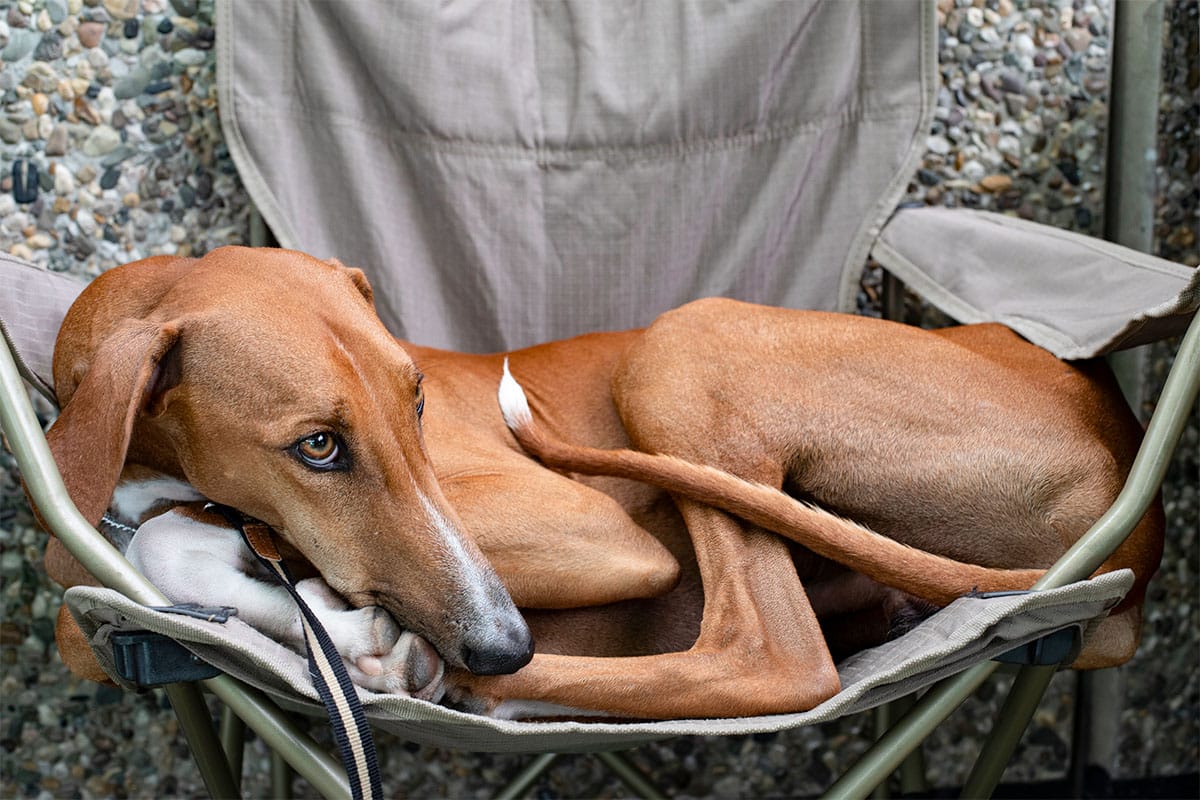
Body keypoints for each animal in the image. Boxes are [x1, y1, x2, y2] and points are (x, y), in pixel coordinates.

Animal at [39, 246, 1162, 720]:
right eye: (317, 446)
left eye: (416, 398)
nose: (502, 637)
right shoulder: (85, 598)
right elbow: (128, 565)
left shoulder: (590, 526)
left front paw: (366, 635)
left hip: (681, 345)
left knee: (772, 655)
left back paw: (456, 682)